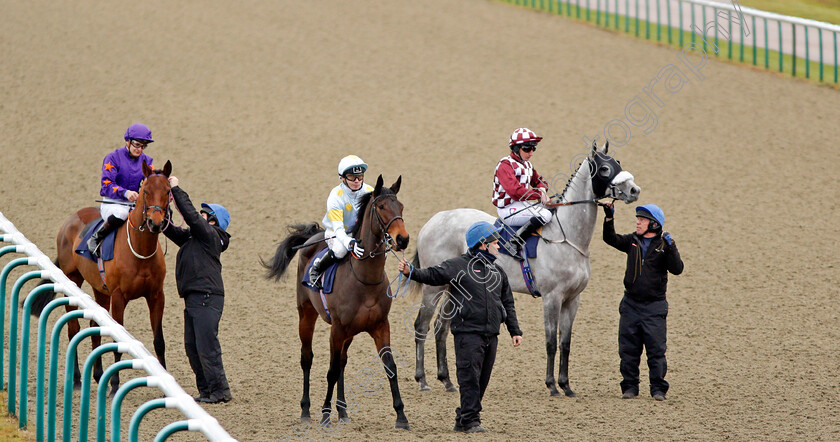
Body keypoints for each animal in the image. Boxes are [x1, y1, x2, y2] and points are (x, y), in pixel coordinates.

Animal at [30, 160, 172, 394]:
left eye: (168, 191)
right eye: (146, 191)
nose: (156, 223)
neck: (140, 251)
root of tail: (70, 220)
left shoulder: (156, 295)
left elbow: (159, 340)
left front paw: (166, 383)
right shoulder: (119, 297)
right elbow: (117, 339)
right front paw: (114, 384)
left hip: (100, 290)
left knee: (94, 328)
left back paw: (97, 374)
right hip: (73, 280)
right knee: (73, 329)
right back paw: (77, 379)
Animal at [260, 175, 410, 428]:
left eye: (400, 207)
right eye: (381, 207)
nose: (403, 239)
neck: (365, 279)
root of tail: (315, 234)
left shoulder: (380, 326)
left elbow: (389, 366)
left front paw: (401, 416)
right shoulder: (337, 329)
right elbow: (330, 371)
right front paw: (324, 413)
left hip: (349, 332)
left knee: (342, 361)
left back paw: (343, 411)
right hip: (307, 315)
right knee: (307, 358)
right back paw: (306, 410)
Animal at [410, 142, 640, 398]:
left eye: (618, 162)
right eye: (604, 169)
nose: (634, 190)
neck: (566, 237)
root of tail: (432, 222)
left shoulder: (573, 299)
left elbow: (565, 343)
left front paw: (566, 386)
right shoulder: (552, 297)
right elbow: (551, 342)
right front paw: (552, 385)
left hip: (454, 289)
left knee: (441, 327)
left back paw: (447, 381)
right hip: (434, 288)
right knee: (422, 325)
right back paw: (422, 379)